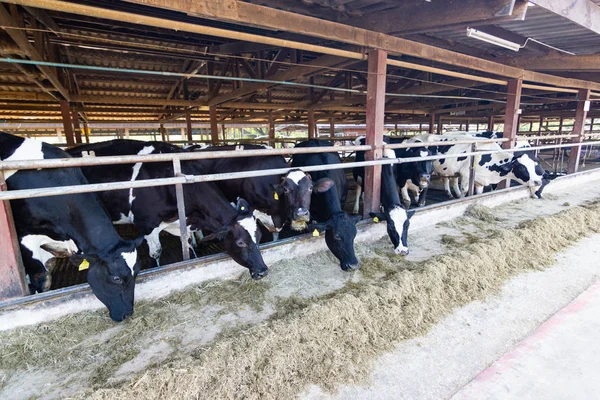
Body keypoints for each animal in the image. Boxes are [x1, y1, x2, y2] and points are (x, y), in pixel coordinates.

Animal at [66, 139, 270, 280]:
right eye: (240, 243)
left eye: (260, 236)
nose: (263, 271)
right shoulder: (146, 225)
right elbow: (155, 253)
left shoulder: (184, 223)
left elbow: (190, 250)